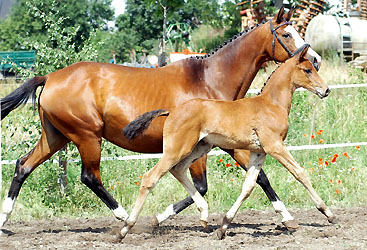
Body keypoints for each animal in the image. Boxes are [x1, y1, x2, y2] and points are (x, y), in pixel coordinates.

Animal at [121, 45, 336, 240]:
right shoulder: (274, 146)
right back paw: (124, 229)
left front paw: (224, 226)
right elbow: (300, 173)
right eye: (307, 70)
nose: (326, 90)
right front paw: (328, 213)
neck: (271, 104)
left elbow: (249, 186)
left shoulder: (259, 152)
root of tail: (171, 111)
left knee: (178, 170)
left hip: (199, 147)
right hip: (177, 149)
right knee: (150, 178)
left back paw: (203, 215)